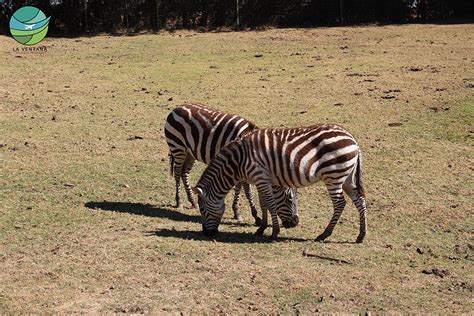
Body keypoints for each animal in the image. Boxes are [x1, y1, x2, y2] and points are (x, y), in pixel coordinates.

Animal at [165, 102, 298, 227]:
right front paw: (255, 215)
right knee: (177, 173)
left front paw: (237, 212)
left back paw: (192, 201)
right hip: (178, 147)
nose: (295, 223)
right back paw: (179, 202)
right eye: (289, 199)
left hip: (190, 153)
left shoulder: (239, 166)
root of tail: (177, 108)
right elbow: (247, 191)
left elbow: (239, 189)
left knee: (184, 173)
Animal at [192, 123, 366, 242]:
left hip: (333, 175)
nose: (206, 233)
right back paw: (361, 235)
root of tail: (352, 139)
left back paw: (324, 234)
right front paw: (261, 227)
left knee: (340, 204)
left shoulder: (260, 176)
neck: (238, 160)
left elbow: (270, 203)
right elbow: (264, 203)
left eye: (202, 209)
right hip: (347, 177)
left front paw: (274, 232)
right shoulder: (261, 179)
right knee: (360, 200)